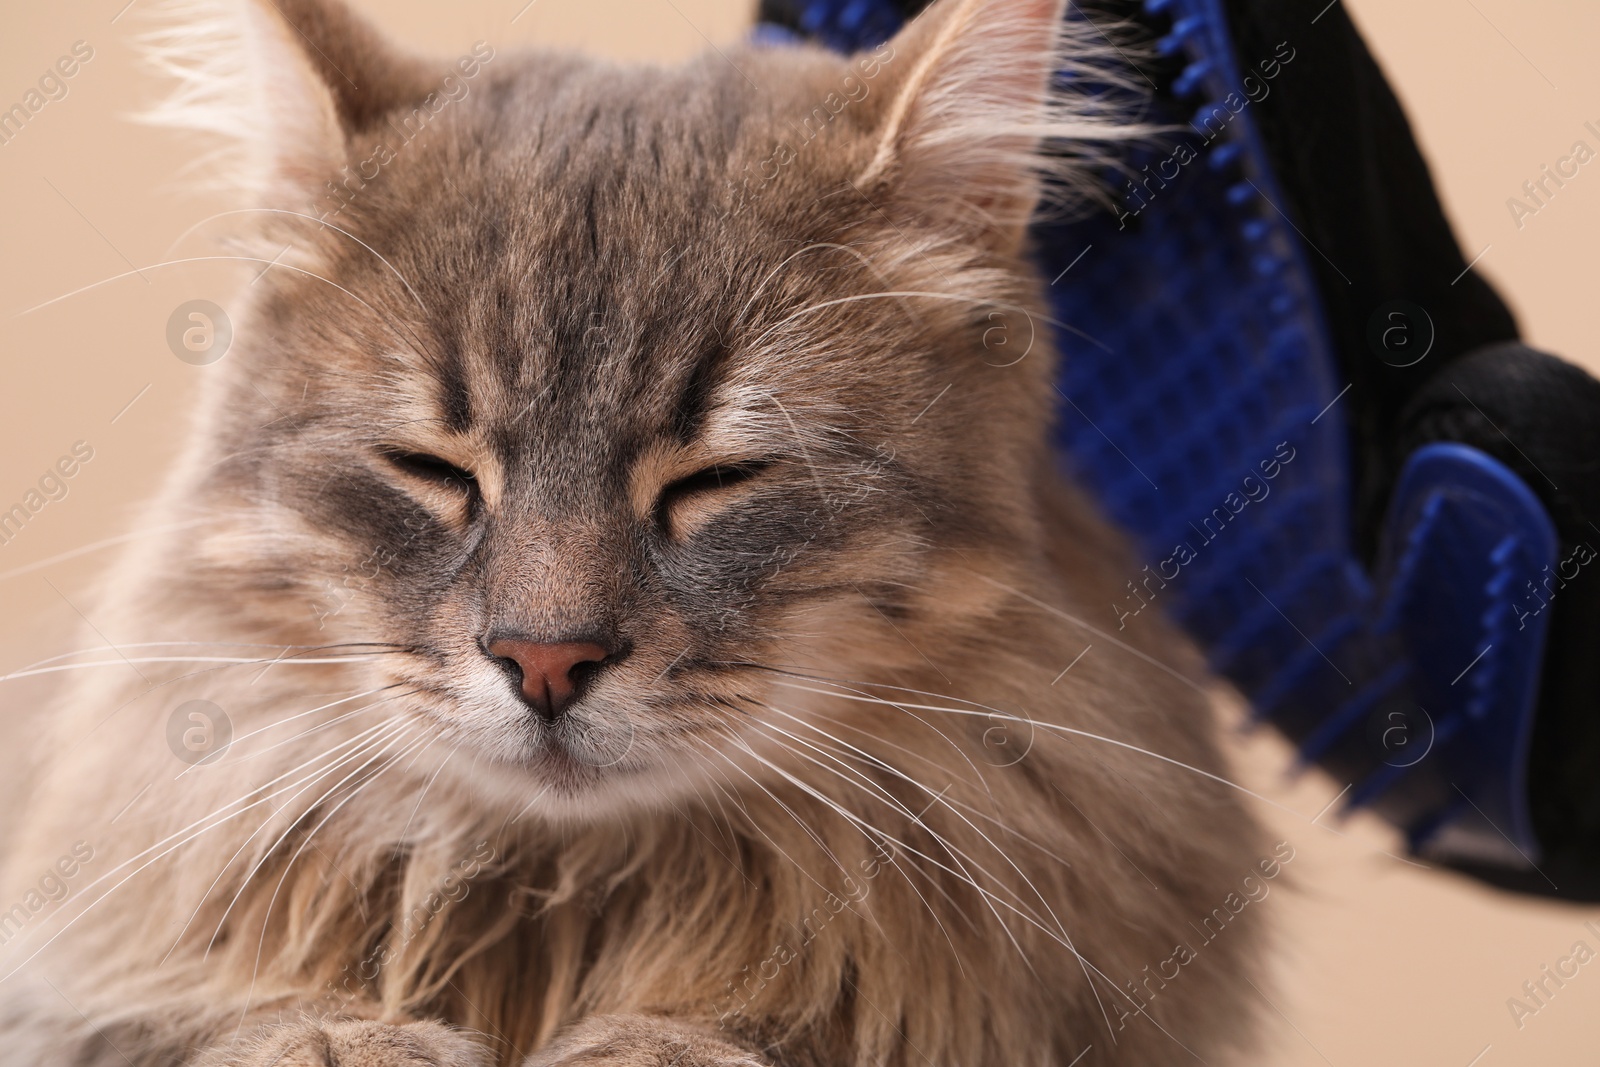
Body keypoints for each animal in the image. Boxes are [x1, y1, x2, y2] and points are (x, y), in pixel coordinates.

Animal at [3, 0, 1273, 1062]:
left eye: (715, 479)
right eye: (433, 471)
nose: (544, 659)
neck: (572, 895)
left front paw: (660, 1037)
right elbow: (243, 1008)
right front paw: (343, 1033)